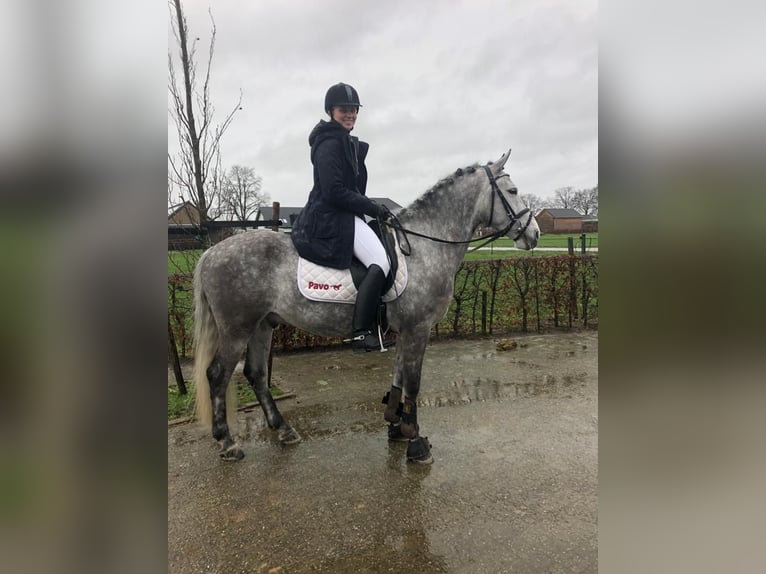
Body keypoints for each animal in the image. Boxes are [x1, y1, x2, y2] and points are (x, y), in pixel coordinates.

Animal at [192, 148, 540, 464]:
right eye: (512, 191)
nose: (535, 234)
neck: (424, 246)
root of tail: (211, 253)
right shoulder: (418, 328)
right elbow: (413, 382)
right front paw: (416, 443)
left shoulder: (405, 330)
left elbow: (399, 376)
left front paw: (397, 427)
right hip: (237, 328)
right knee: (218, 374)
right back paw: (228, 443)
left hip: (263, 324)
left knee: (256, 374)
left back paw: (284, 431)